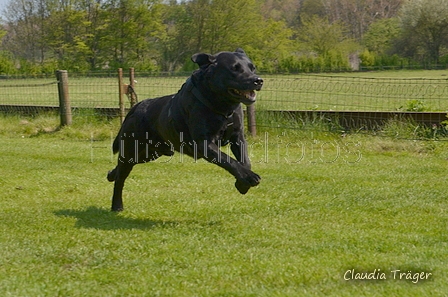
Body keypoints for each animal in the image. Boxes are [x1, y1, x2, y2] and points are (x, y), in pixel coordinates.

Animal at [107, 48, 262, 209]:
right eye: (234, 68)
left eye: (252, 68)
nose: (258, 80)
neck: (222, 108)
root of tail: (137, 107)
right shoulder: (204, 143)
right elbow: (228, 160)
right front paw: (249, 177)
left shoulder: (238, 137)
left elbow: (245, 161)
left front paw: (242, 184)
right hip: (131, 149)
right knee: (121, 178)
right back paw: (117, 205)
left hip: (150, 153)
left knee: (122, 169)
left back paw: (111, 174)